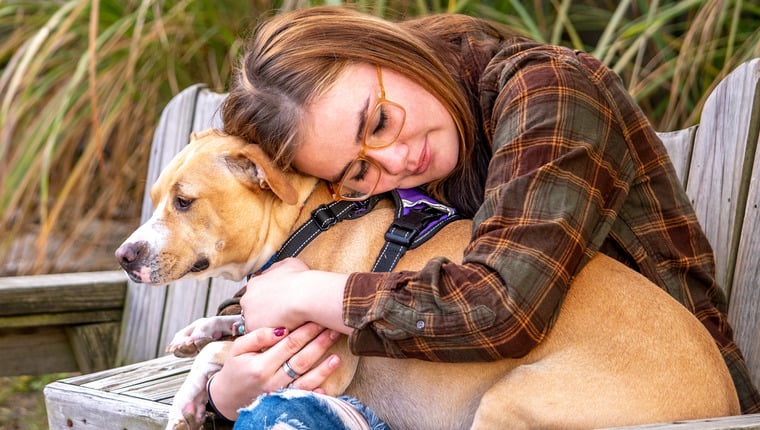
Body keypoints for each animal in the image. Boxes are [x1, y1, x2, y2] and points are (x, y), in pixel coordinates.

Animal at [116, 129, 740, 428]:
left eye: (184, 201)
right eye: (156, 197)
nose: (124, 255)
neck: (304, 218)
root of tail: (728, 404)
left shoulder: (326, 363)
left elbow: (222, 356)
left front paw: (189, 395)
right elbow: (226, 333)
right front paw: (195, 338)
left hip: (509, 405)